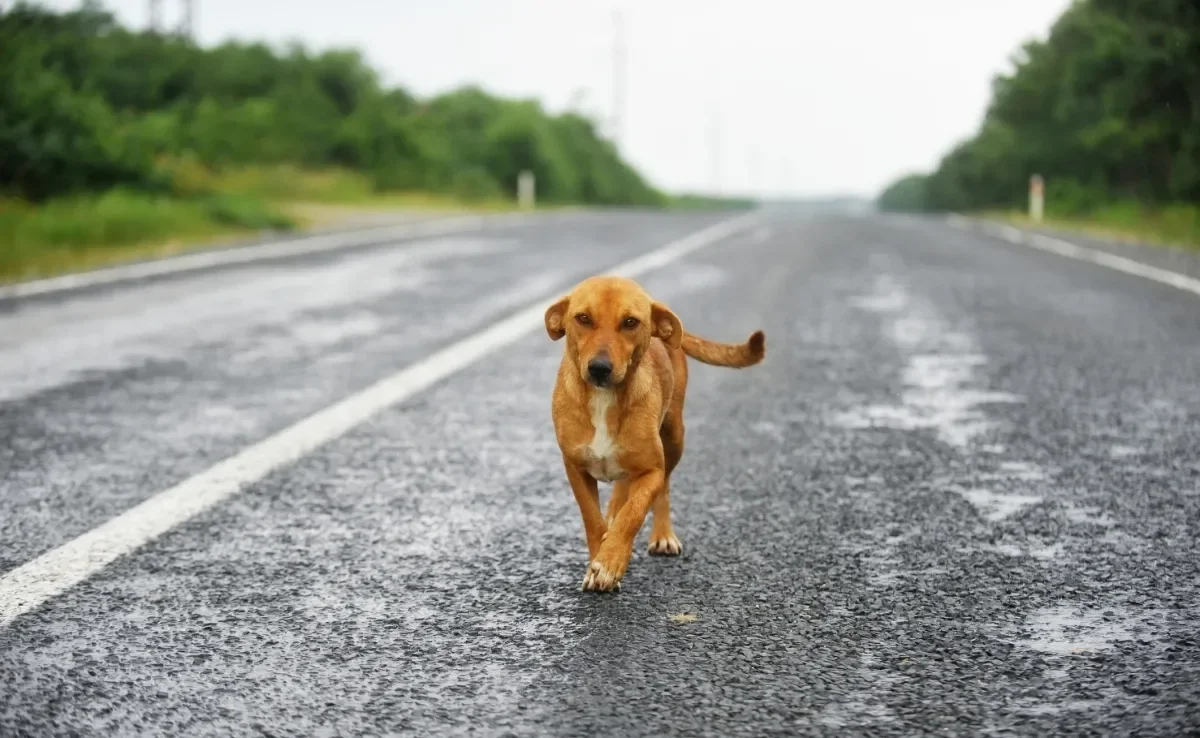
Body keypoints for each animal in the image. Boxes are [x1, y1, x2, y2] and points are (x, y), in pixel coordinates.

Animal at [547, 274, 768, 592]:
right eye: (583, 318)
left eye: (630, 322)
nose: (599, 368)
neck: (604, 400)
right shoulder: (575, 468)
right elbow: (593, 519)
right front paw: (599, 556)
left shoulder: (652, 469)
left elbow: (635, 512)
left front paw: (611, 562)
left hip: (675, 438)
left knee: (662, 489)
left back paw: (662, 536)